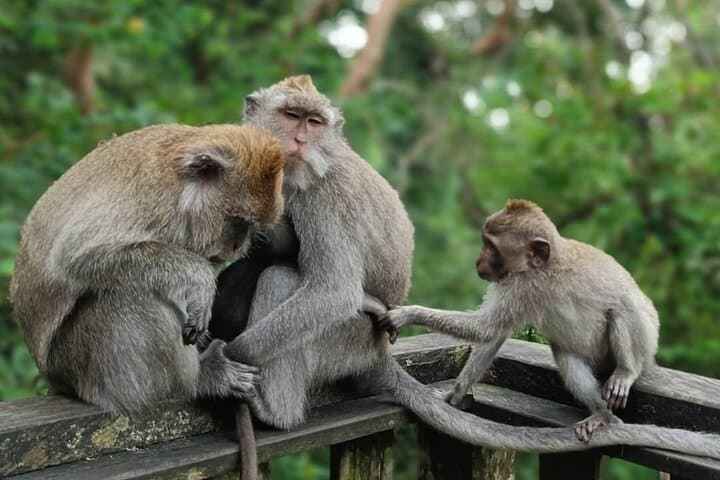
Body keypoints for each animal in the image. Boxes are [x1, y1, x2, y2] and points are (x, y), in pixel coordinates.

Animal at [9, 123, 285, 415]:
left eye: (251, 228)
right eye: (238, 221)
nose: (236, 247)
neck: (180, 187)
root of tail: (56, 379)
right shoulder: (153, 203)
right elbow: (74, 256)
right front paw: (202, 282)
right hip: (78, 363)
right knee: (128, 296)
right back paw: (200, 379)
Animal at [377, 199, 720, 450]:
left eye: (492, 247)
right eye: (484, 242)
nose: (478, 261)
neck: (540, 264)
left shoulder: (522, 286)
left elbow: (486, 327)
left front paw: (406, 314)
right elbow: (494, 333)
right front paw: (457, 393)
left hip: (648, 336)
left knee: (623, 308)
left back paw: (625, 373)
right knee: (565, 353)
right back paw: (602, 414)